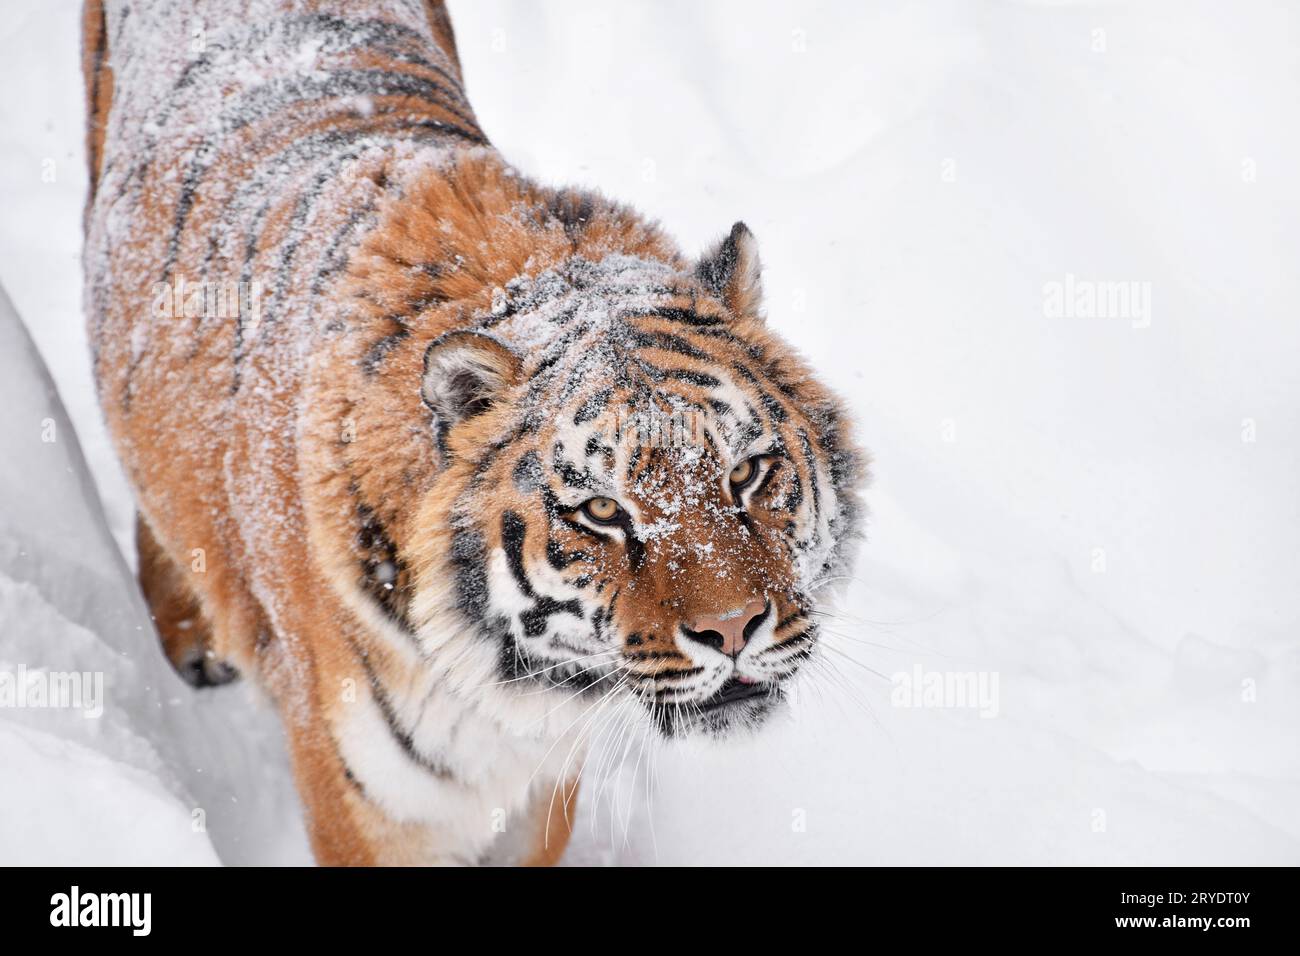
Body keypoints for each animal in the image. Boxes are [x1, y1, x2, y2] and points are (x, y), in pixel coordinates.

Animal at [86, 0, 868, 868]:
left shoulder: (543, 792)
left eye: (746, 473)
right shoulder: (368, 811)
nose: (732, 631)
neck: (509, 689)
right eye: (600, 511)